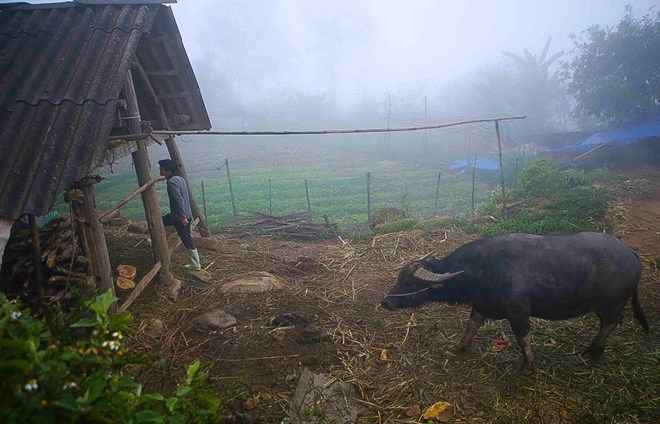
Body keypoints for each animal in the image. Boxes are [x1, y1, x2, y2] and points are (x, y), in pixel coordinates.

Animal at [378, 232, 648, 374]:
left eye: (409, 282)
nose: (385, 302)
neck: (480, 269)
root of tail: (631, 254)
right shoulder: (481, 305)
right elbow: (472, 325)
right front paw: (459, 346)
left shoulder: (518, 312)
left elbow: (522, 338)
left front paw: (527, 365)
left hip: (613, 304)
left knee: (612, 322)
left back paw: (595, 349)